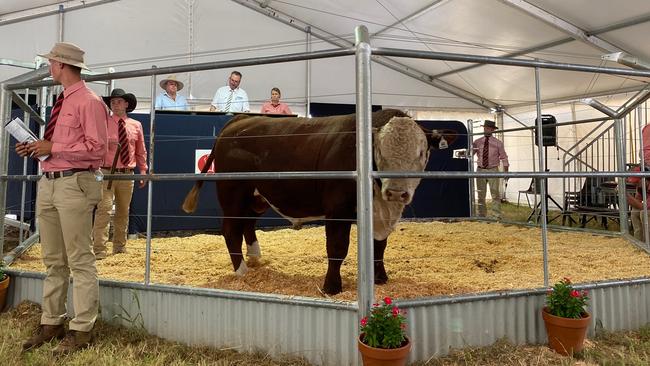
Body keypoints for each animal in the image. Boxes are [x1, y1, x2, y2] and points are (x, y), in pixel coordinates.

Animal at [182, 108, 456, 294]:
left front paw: (380, 278)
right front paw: (332, 286)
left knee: (247, 224)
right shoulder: (337, 210)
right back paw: (241, 272)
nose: (397, 192)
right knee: (230, 229)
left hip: (257, 197)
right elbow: (337, 249)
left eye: (422, 152)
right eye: (379, 151)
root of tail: (240, 120)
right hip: (233, 193)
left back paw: (256, 259)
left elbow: (379, 247)